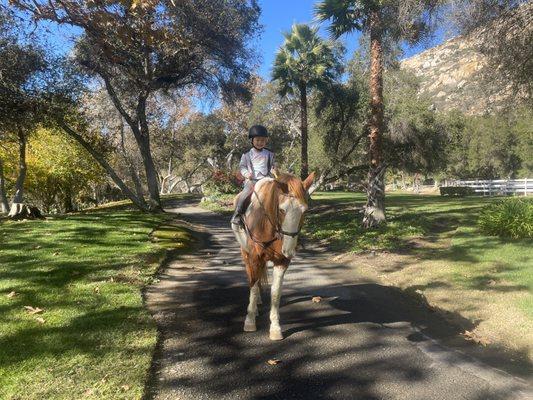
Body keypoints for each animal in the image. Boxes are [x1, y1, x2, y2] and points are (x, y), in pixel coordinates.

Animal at [231, 171, 314, 340]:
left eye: (304, 211)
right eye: (282, 210)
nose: (289, 250)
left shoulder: (281, 262)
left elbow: (275, 293)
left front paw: (275, 328)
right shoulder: (254, 258)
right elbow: (253, 286)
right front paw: (249, 320)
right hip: (245, 254)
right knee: (251, 278)